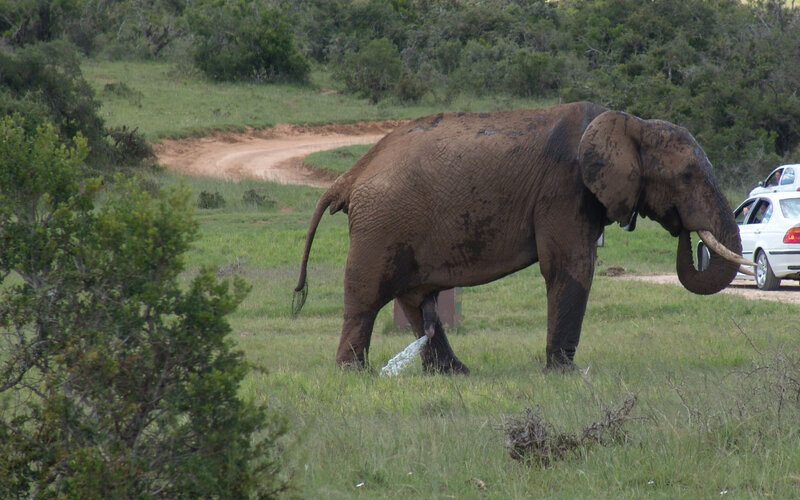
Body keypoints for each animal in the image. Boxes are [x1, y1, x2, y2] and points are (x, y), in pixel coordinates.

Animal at [292, 101, 754, 373]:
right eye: (687, 176)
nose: (683, 228)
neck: (629, 124)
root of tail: (351, 175)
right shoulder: (564, 188)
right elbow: (571, 266)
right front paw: (565, 375)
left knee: (416, 299)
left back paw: (456, 374)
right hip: (382, 224)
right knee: (368, 297)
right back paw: (354, 374)